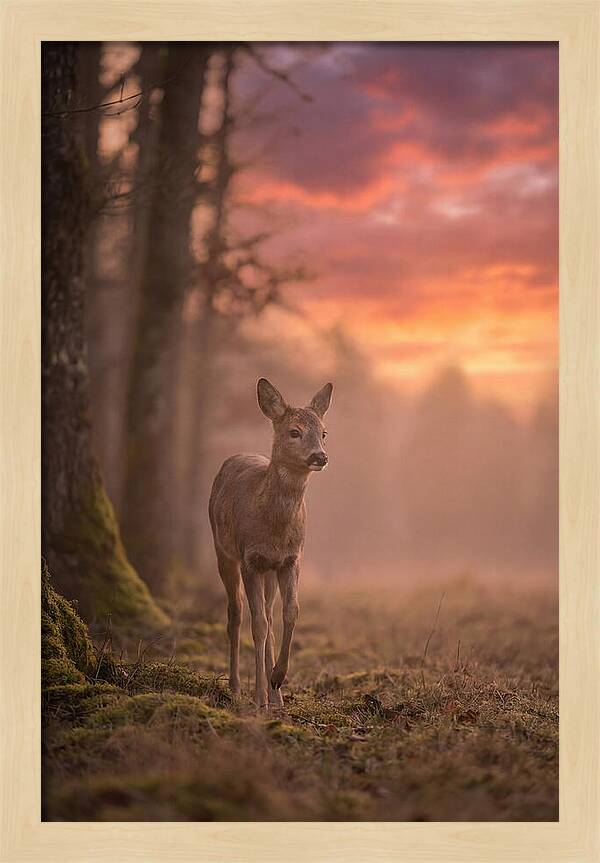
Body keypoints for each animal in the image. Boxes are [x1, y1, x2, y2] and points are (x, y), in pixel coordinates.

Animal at [208, 378, 333, 709]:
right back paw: (237, 686)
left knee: (267, 611)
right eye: (294, 431)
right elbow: (258, 626)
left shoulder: (291, 559)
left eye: (324, 433)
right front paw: (259, 697)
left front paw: (278, 678)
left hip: (269, 572)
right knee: (236, 613)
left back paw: (276, 695)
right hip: (223, 551)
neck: (274, 529)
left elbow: (291, 613)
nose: (320, 456)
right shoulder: (250, 559)